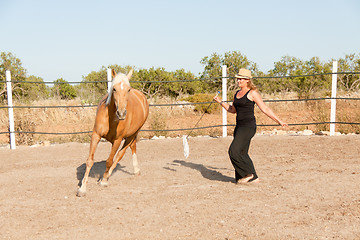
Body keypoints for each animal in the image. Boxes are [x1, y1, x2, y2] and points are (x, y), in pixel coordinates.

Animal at [76, 68, 148, 196]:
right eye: (114, 89)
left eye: (128, 89)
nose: (121, 113)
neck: (111, 118)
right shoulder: (95, 135)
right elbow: (90, 161)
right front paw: (82, 188)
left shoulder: (117, 140)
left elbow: (110, 161)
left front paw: (104, 181)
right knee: (132, 147)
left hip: (132, 135)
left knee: (120, 154)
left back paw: (108, 176)